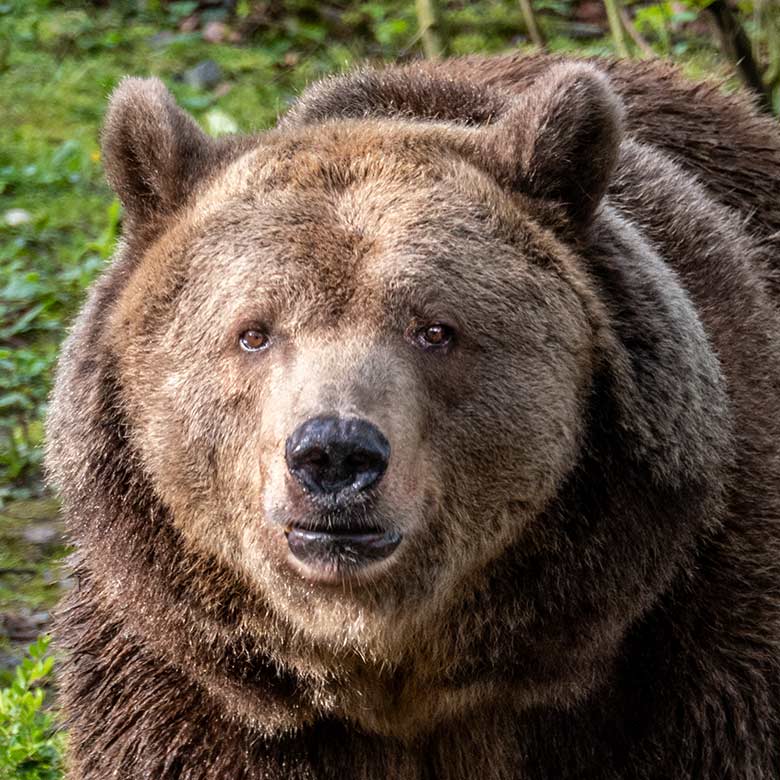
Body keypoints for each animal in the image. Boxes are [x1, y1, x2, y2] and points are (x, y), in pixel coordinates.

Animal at [45, 51, 780, 776]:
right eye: (253, 332)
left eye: (435, 330)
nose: (335, 453)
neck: (398, 672)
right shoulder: (186, 683)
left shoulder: (690, 638)